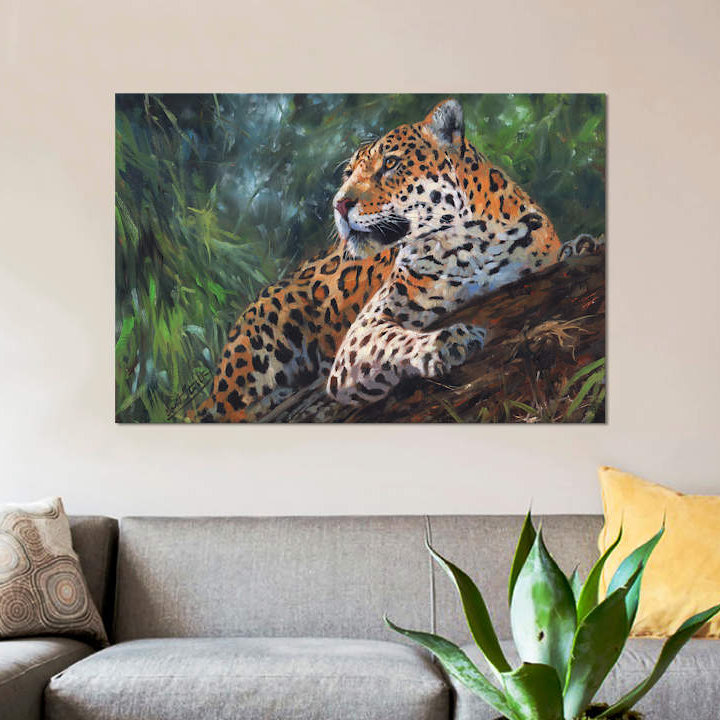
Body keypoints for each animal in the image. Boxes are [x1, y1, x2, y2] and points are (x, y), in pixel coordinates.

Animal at [194, 98, 563, 421]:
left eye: (390, 164)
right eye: (348, 174)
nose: (339, 204)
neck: (468, 246)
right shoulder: (361, 333)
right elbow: (392, 340)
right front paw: (447, 342)